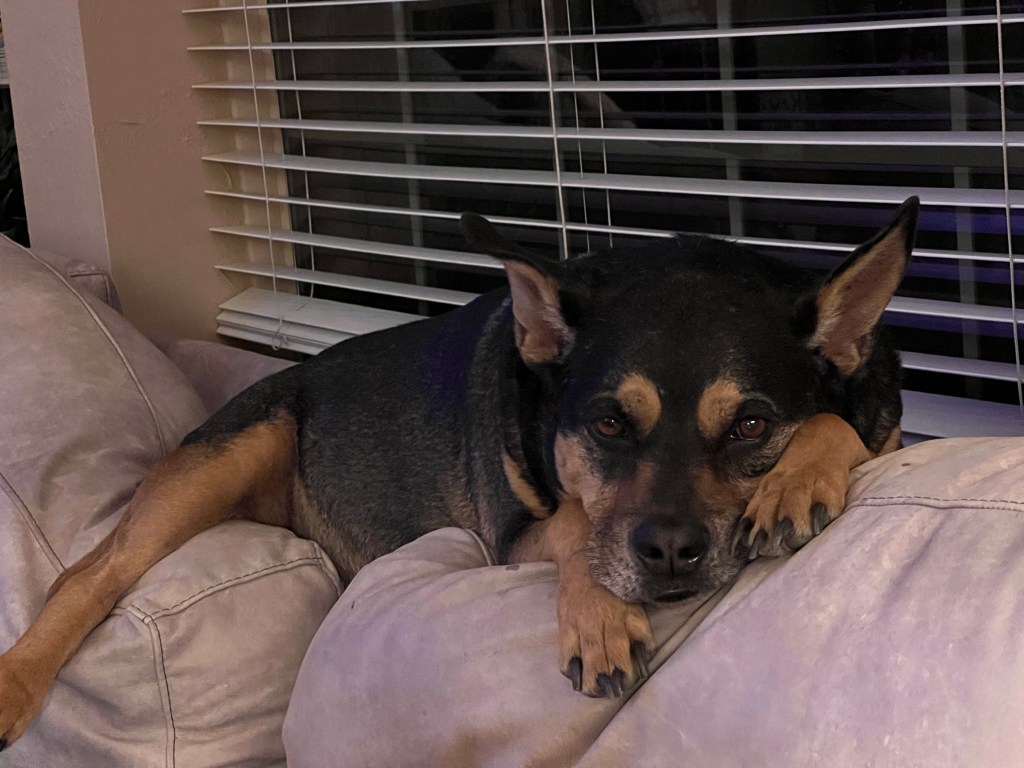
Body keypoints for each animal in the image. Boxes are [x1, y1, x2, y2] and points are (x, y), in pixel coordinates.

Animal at [0, 197, 918, 748]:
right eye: (609, 423)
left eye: (753, 425)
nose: (668, 556)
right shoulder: (513, 539)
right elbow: (578, 522)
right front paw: (599, 618)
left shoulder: (881, 428)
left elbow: (842, 422)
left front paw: (797, 479)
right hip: (233, 449)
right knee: (88, 574)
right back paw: (16, 684)